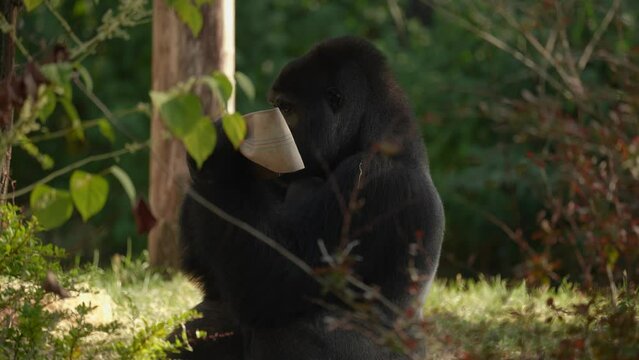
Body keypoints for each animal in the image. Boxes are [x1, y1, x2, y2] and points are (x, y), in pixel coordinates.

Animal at [175, 37, 444, 360]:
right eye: (276, 106)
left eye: (287, 108)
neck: (374, 134)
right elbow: (219, 281)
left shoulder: (374, 180)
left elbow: (276, 286)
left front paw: (219, 160)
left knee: (289, 325)